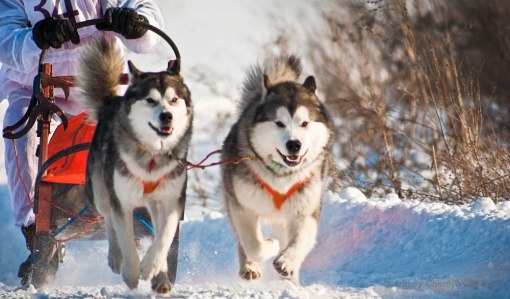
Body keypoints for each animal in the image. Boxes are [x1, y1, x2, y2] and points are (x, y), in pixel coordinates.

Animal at [76, 36, 192, 294]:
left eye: (174, 99)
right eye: (150, 100)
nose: (167, 116)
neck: (152, 155)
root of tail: (112, 101)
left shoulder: (171, 200)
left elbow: (164, 236)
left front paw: (152, 267)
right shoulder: (122, 201)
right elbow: (126, 239)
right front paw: (132, 273)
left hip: (154, 202)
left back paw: (160, 275)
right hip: (100, 193)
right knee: (109, 221)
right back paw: (115, 257)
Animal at [220, 55, 332, 288]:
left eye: (304, 123)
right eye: (279, 123)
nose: (294, 145)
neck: (282, 176)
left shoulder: (306, 209)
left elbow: (301, 239)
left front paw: (287, 262)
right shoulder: (242, 207)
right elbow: (253, 243)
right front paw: (270, 246)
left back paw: (291, 282)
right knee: (244, 242)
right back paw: (249, 267)